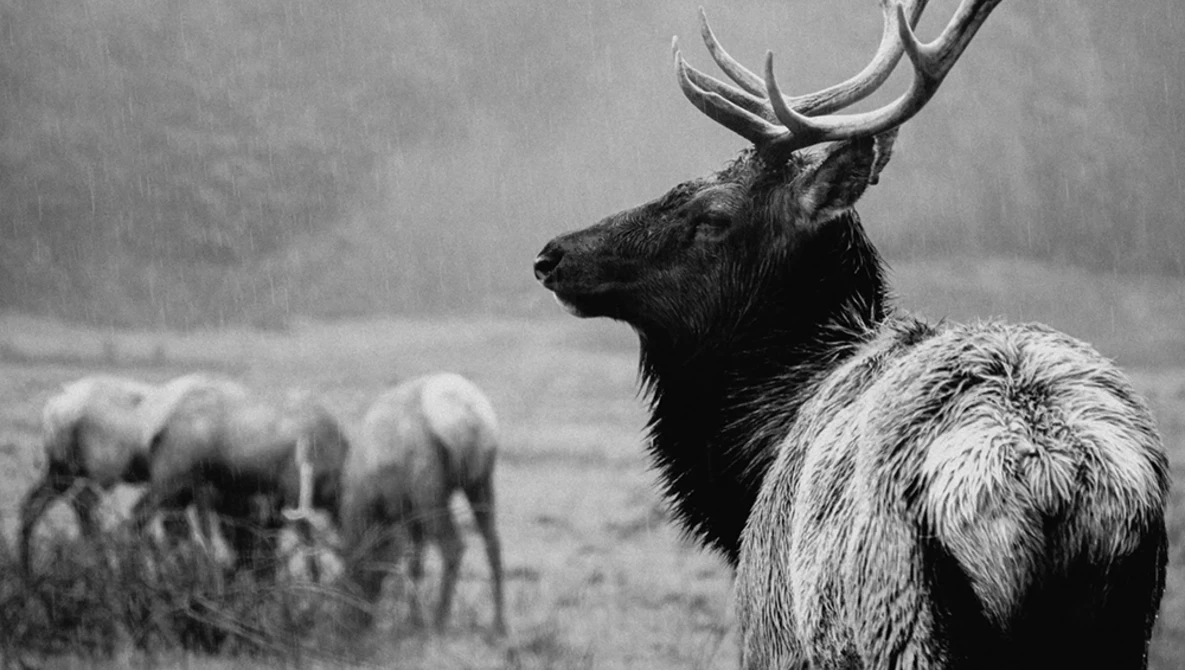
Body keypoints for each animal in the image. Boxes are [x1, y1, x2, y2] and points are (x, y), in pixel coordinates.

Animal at [18, 375, 214, 574]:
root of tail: (58, 409)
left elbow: (178, 530)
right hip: (101, 474)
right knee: (85, 503)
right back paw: (105, 567)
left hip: (61, 472)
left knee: (32, 506)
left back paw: (27, 569)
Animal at [132, 373, 350, 579]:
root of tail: (160, 430)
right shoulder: (294, 495)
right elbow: (308, 549)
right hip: (171, 484)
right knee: (143, 515)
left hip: (180, 493)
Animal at [337, 372, 505, 635]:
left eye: (350, 575)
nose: (355, 620)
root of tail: (470, 419)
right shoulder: (410, 513)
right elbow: (415, 563)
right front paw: (412, 620)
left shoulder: (403, 508)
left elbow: (411, 561)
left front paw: (414, 620)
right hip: (481, 483)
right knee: (493, 543)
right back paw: (499, 624)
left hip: (430, 491)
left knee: (453, 546)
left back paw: (439, 621)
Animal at [532, 1, 1170, 667]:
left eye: (712, 215)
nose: (553, 255)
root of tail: (1043, 475)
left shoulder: (771, 632)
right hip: (1125, 623)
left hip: (898, 617)